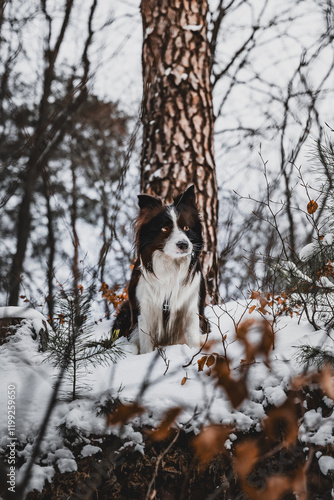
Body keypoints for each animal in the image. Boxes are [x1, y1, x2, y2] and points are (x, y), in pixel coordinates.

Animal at [113, 186, 209, 354]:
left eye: (186, 227)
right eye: (165, 229)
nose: (184, 245)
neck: (171, 266)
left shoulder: (191, 308)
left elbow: (193, 340)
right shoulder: (145, 312)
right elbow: (146, 346)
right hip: (125, 313)